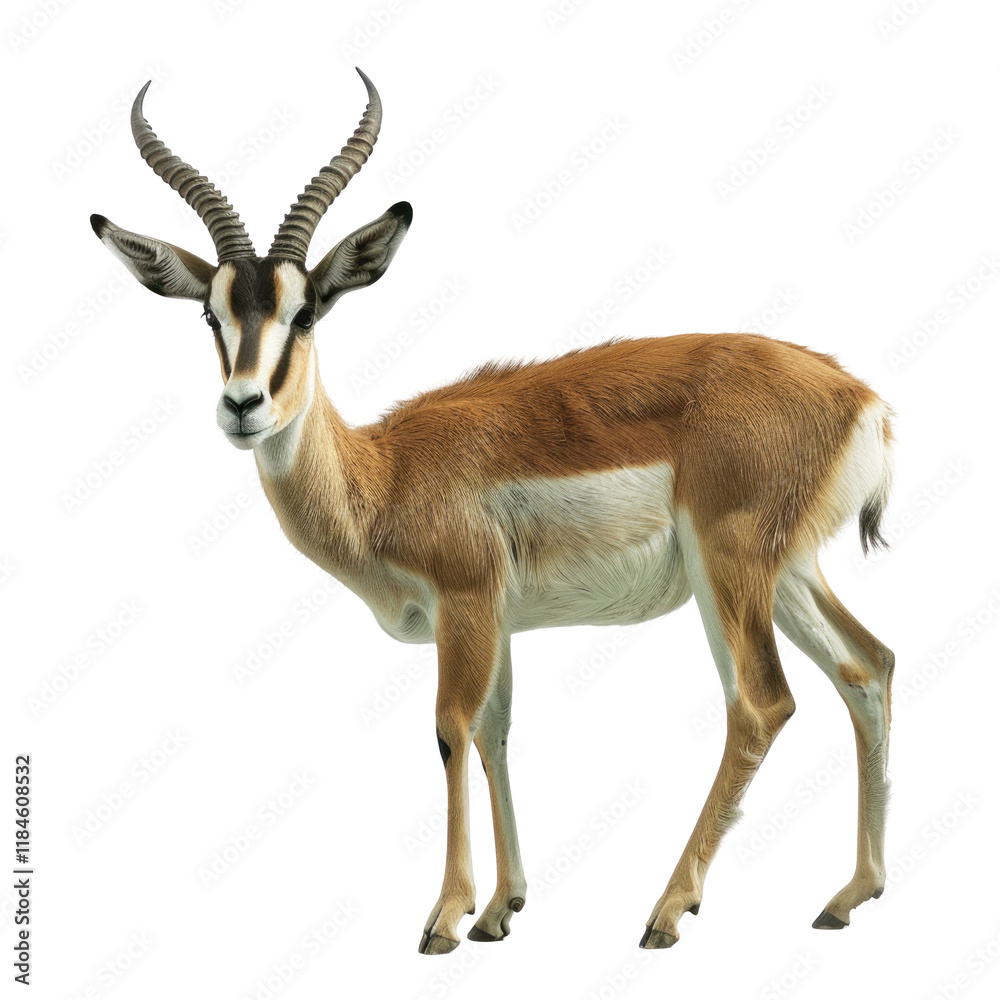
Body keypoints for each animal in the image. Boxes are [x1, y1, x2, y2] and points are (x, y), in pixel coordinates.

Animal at [91, 69, 895, 954]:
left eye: (305, 314)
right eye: (214, 314)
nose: (242, 406)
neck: (383, 474)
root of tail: (859, 397)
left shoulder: (466, 604)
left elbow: (450, 729)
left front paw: (445, 917)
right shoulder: (500, 620)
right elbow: (496, 733)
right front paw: (501, 909)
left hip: (731, 570)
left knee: (760, 704)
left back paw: (667, 910)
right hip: (789, 571)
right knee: (868, 667)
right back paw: (849, 895)